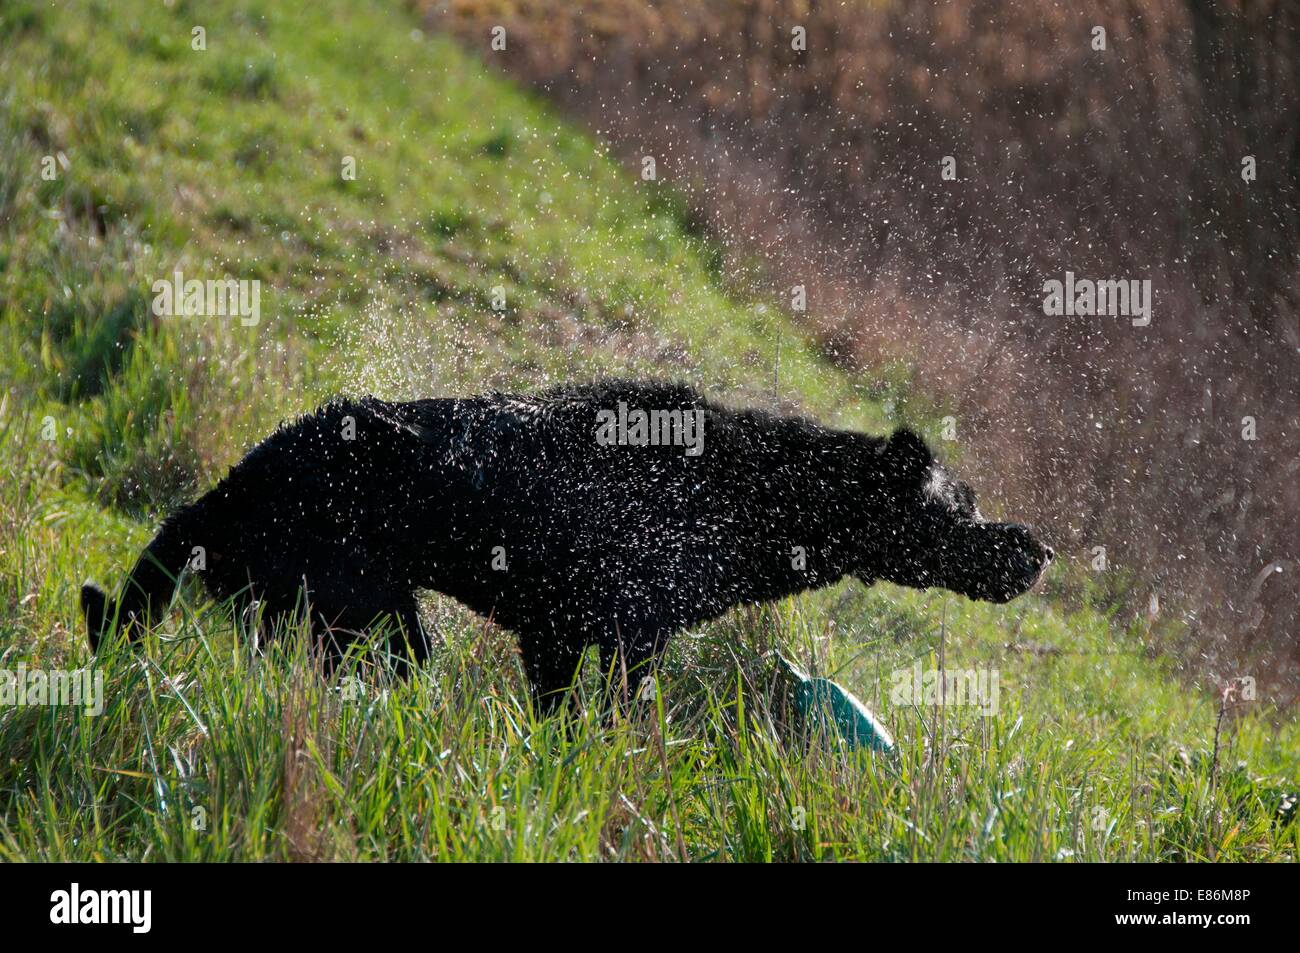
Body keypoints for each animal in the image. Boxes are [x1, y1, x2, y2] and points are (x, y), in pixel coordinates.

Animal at [83, 377, 1055, 707]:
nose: (1036, 549)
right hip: (370, 616)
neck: (756, 496)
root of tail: (223, 490)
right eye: (962, 509)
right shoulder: (626, 638)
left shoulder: (555, 639)